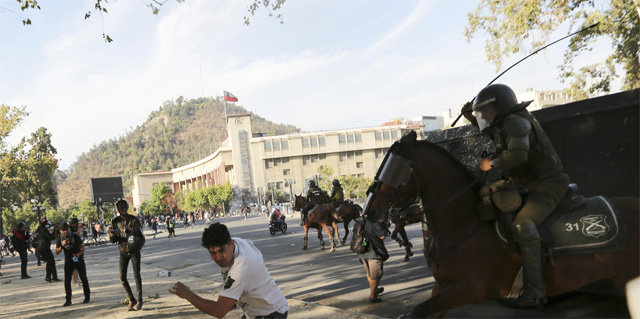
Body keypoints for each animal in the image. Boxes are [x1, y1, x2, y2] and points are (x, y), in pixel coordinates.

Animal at [362, 132, 636, 318]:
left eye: (392, 169)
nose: (368, 211)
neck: (464, 224)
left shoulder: (469, 289)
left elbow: (418, 311)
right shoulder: (442, 286)